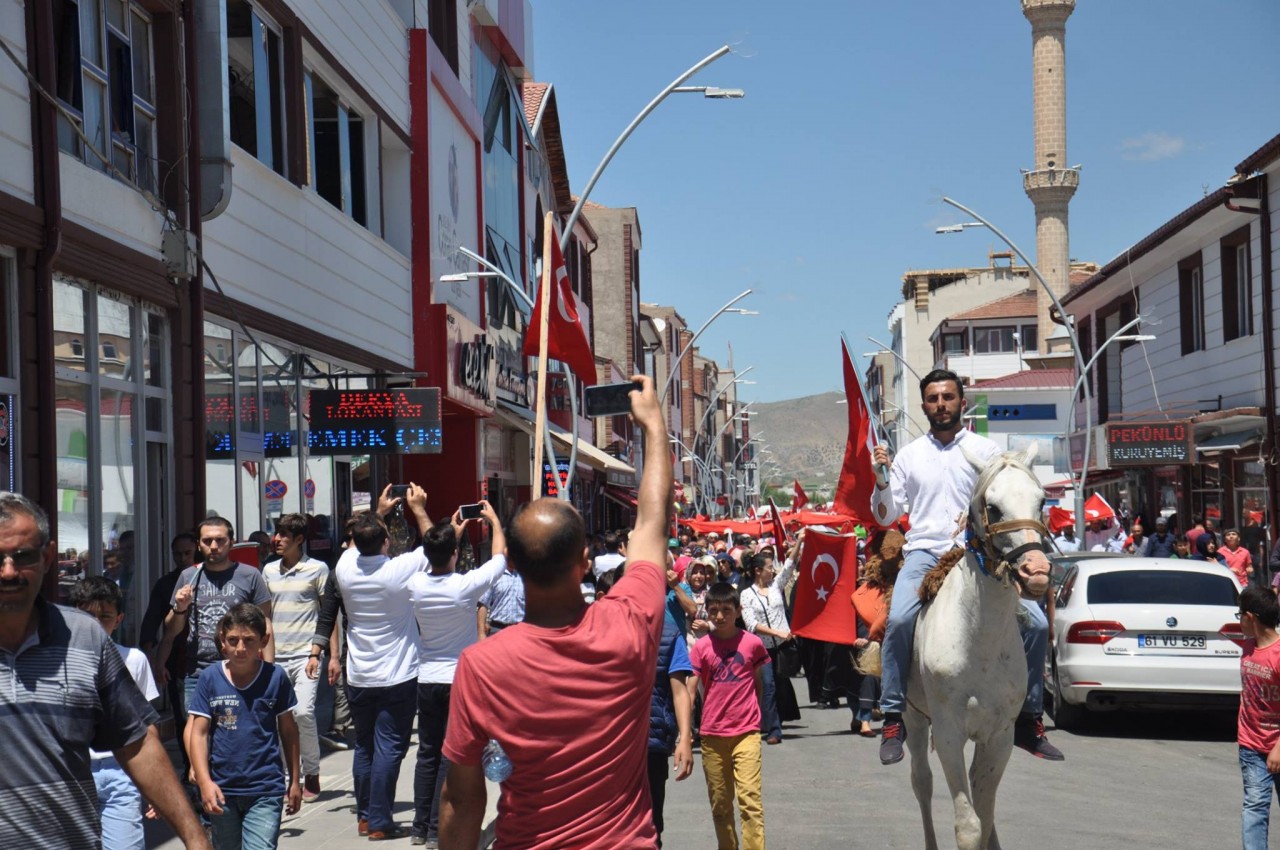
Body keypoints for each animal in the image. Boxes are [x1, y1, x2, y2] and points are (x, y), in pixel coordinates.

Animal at [903, 447, 1053, 850]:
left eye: (1041, 501)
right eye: (994, 507)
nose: (1036, 571)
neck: (978, 638)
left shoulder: (1000, 736)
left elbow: (984, 818)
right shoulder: (948, 733)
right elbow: (969, 825)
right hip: (912, 717)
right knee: (921, 783)